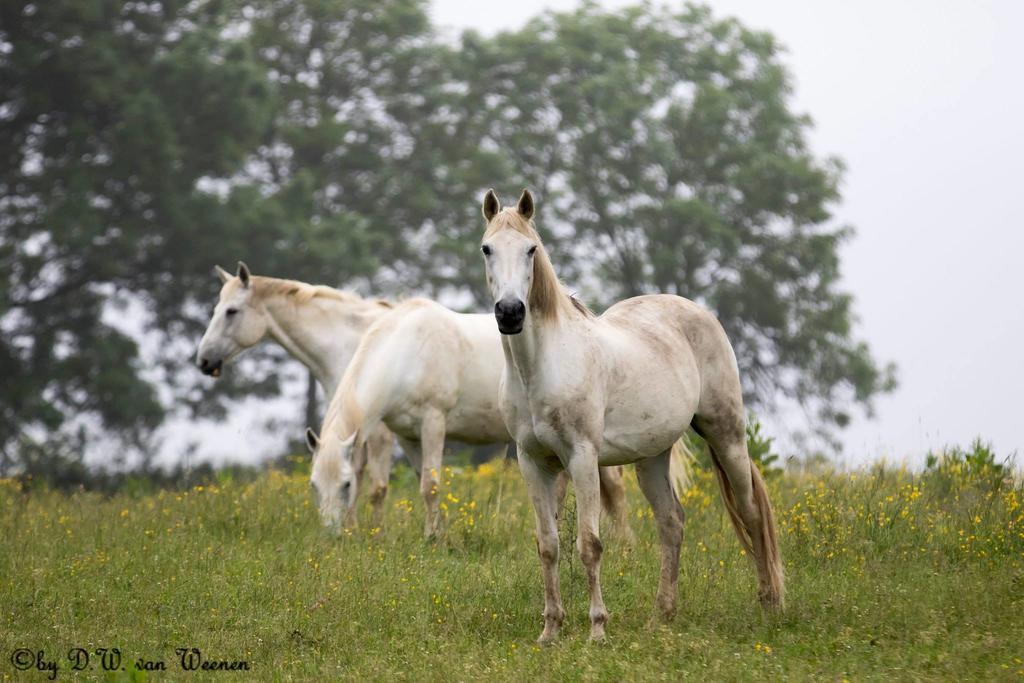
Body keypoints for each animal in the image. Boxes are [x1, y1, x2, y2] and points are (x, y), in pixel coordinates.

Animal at [193, 262, 393, 524]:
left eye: (231, 311)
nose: (204, 361)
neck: (349, 346)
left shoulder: (379, 432)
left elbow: (376, 489)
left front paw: (377, 532)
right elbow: (353, 480)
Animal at [479, 189, 782, 643]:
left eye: (531, 249)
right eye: (487, 248)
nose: (511, 312)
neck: (542, 366)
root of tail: (698, 312)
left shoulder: (582, 457)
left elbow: (589, 544)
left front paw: (597, 630)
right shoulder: (533, 462)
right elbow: (548, 545)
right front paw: (550, 631)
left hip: (726, 435)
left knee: (750, 513)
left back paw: (769, 605)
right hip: (651, 457)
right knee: (672, 522)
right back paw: (662, 616)